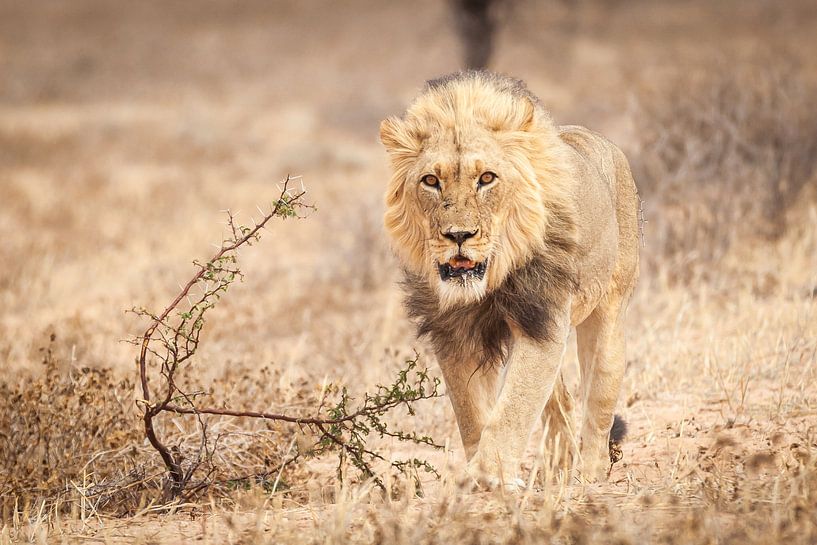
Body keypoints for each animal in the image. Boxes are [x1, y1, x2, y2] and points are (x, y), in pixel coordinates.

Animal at [379, 71, 639, 485]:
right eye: (431, 181)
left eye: (487, 178)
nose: (458, 235)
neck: (490, 281)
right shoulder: (452, 331)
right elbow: (472, 411)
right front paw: (479, 473)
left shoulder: (542, 320)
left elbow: (515, 405)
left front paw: (489, 475)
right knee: (561, 400)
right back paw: (557, 467)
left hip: (609, 316)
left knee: (598, 399)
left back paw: (590, 472)